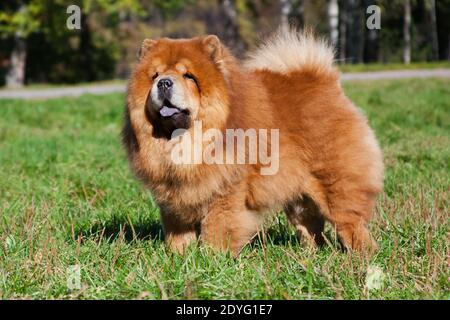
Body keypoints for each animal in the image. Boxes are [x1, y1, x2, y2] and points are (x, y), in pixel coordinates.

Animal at [122, 30, 384, 255]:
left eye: (189, 76)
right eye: (155, 76)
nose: (164, 82)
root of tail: (323, 81)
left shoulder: (225, 191)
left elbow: (217, 227)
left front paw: (211, 258)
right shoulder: (174, 196)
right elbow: (177, 231)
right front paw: (178, 255)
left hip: (335, 183)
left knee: (349, 221)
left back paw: (361, 254)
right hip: (297, 195)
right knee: (310, 227)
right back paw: (310, 255)